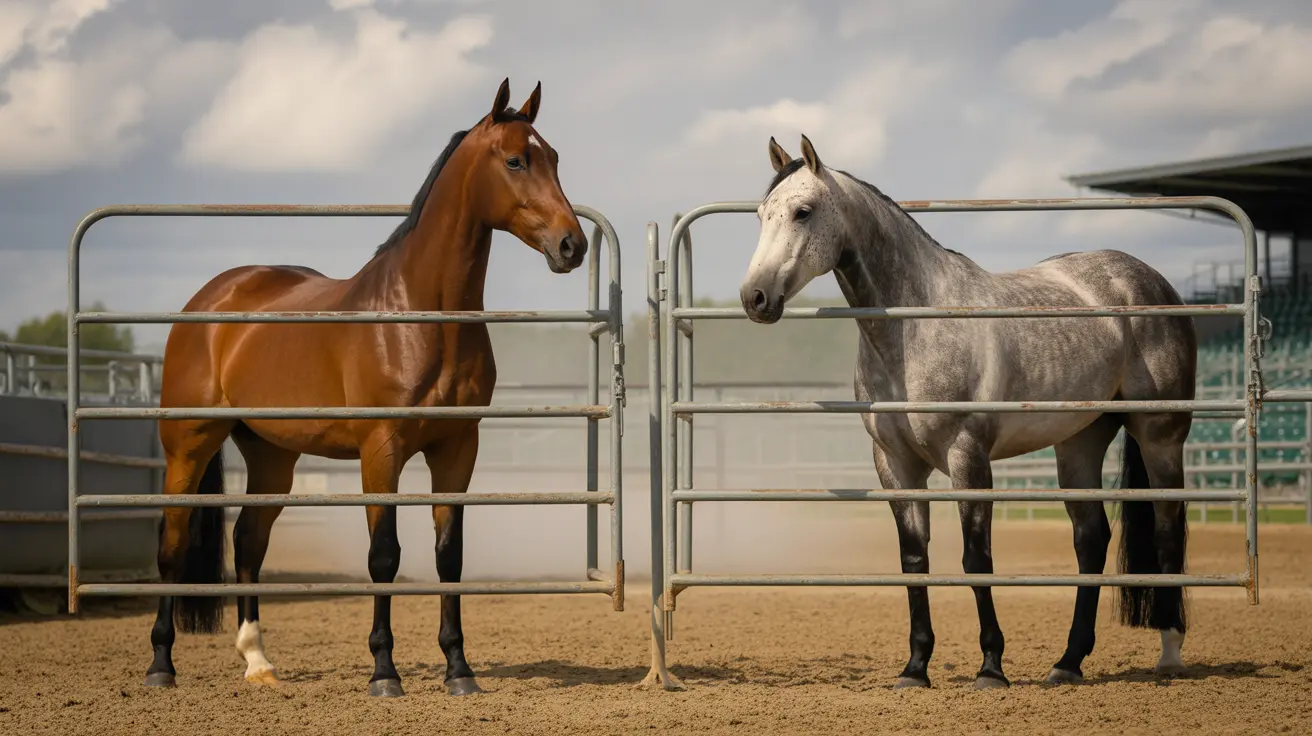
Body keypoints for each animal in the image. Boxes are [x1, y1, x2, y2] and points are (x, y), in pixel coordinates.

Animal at [147, 78, 589, 698]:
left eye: (555, 158)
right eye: (515, 160)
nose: (572, 245)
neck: (419, 316)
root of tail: (210, 299)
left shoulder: (457, 449)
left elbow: (448, 557)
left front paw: (459, 670)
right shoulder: (381, 452)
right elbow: (385, 556)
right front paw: (384, 672)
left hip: (271, 457)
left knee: (248, 542)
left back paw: (257, 662)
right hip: (189, 445)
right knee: (173, 544)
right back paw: (161, 664)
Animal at [738, 135, 1196, 688]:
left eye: (803, 212)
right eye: (761, 214)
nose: (755, 297)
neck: (914, 329)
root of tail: (1151, 282)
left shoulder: (968, 458)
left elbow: (976, 558)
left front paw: (991, 667)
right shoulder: (895, 465)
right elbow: (914, 559)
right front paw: (915, 668)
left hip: (1160, 435)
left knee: (1168, 529)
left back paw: (1169, 655)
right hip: (1080, 442)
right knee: (1091, 539)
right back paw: (1068, 662)